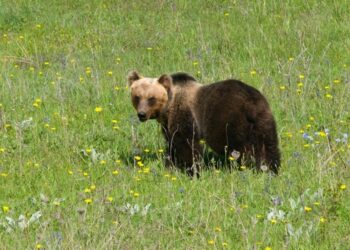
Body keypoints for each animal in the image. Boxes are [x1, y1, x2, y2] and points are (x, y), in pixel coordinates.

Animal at [127, 70, 280, 176]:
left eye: (151, 98)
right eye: (137, 97)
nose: (141, 114)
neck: (168, 107)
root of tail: (251, 103)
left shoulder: (184, 115)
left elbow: (187, 144)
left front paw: (192, 170)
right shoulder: (168, 125)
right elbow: (171, 144)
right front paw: (171, 165)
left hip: (228, 120)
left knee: (240, 147)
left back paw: (245, 167)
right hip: (263, 119)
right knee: (268, 146)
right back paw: (271, 168)